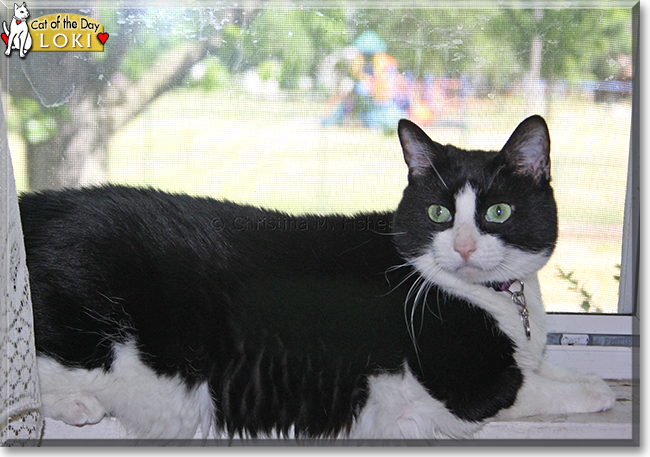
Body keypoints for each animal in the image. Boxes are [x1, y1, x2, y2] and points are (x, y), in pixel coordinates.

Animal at [19, 114, 612, 438]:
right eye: (440, 213)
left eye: (498, 213)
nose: (464, 247)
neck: (500, 301)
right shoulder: (474, 385)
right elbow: (539, 387)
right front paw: (598, 388)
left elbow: (543, 369)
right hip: (91, 335)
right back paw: (76, 405)